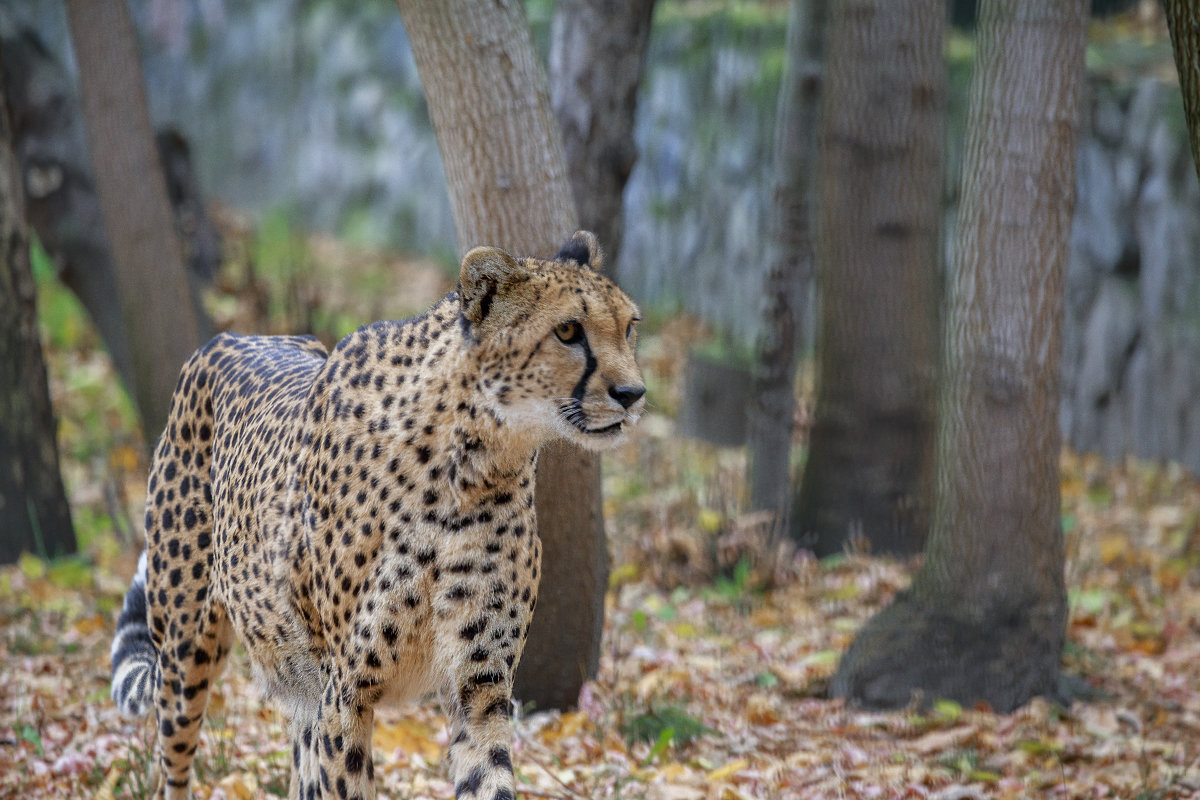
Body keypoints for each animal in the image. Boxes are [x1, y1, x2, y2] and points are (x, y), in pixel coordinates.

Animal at [110, 227, 648, 796]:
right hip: (184, 660)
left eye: (629, 327)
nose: (632, 394)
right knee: (174, 766)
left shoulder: (479, 686)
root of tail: (232, 336)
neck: (473, 466)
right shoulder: (346, 690)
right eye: (567, 331)